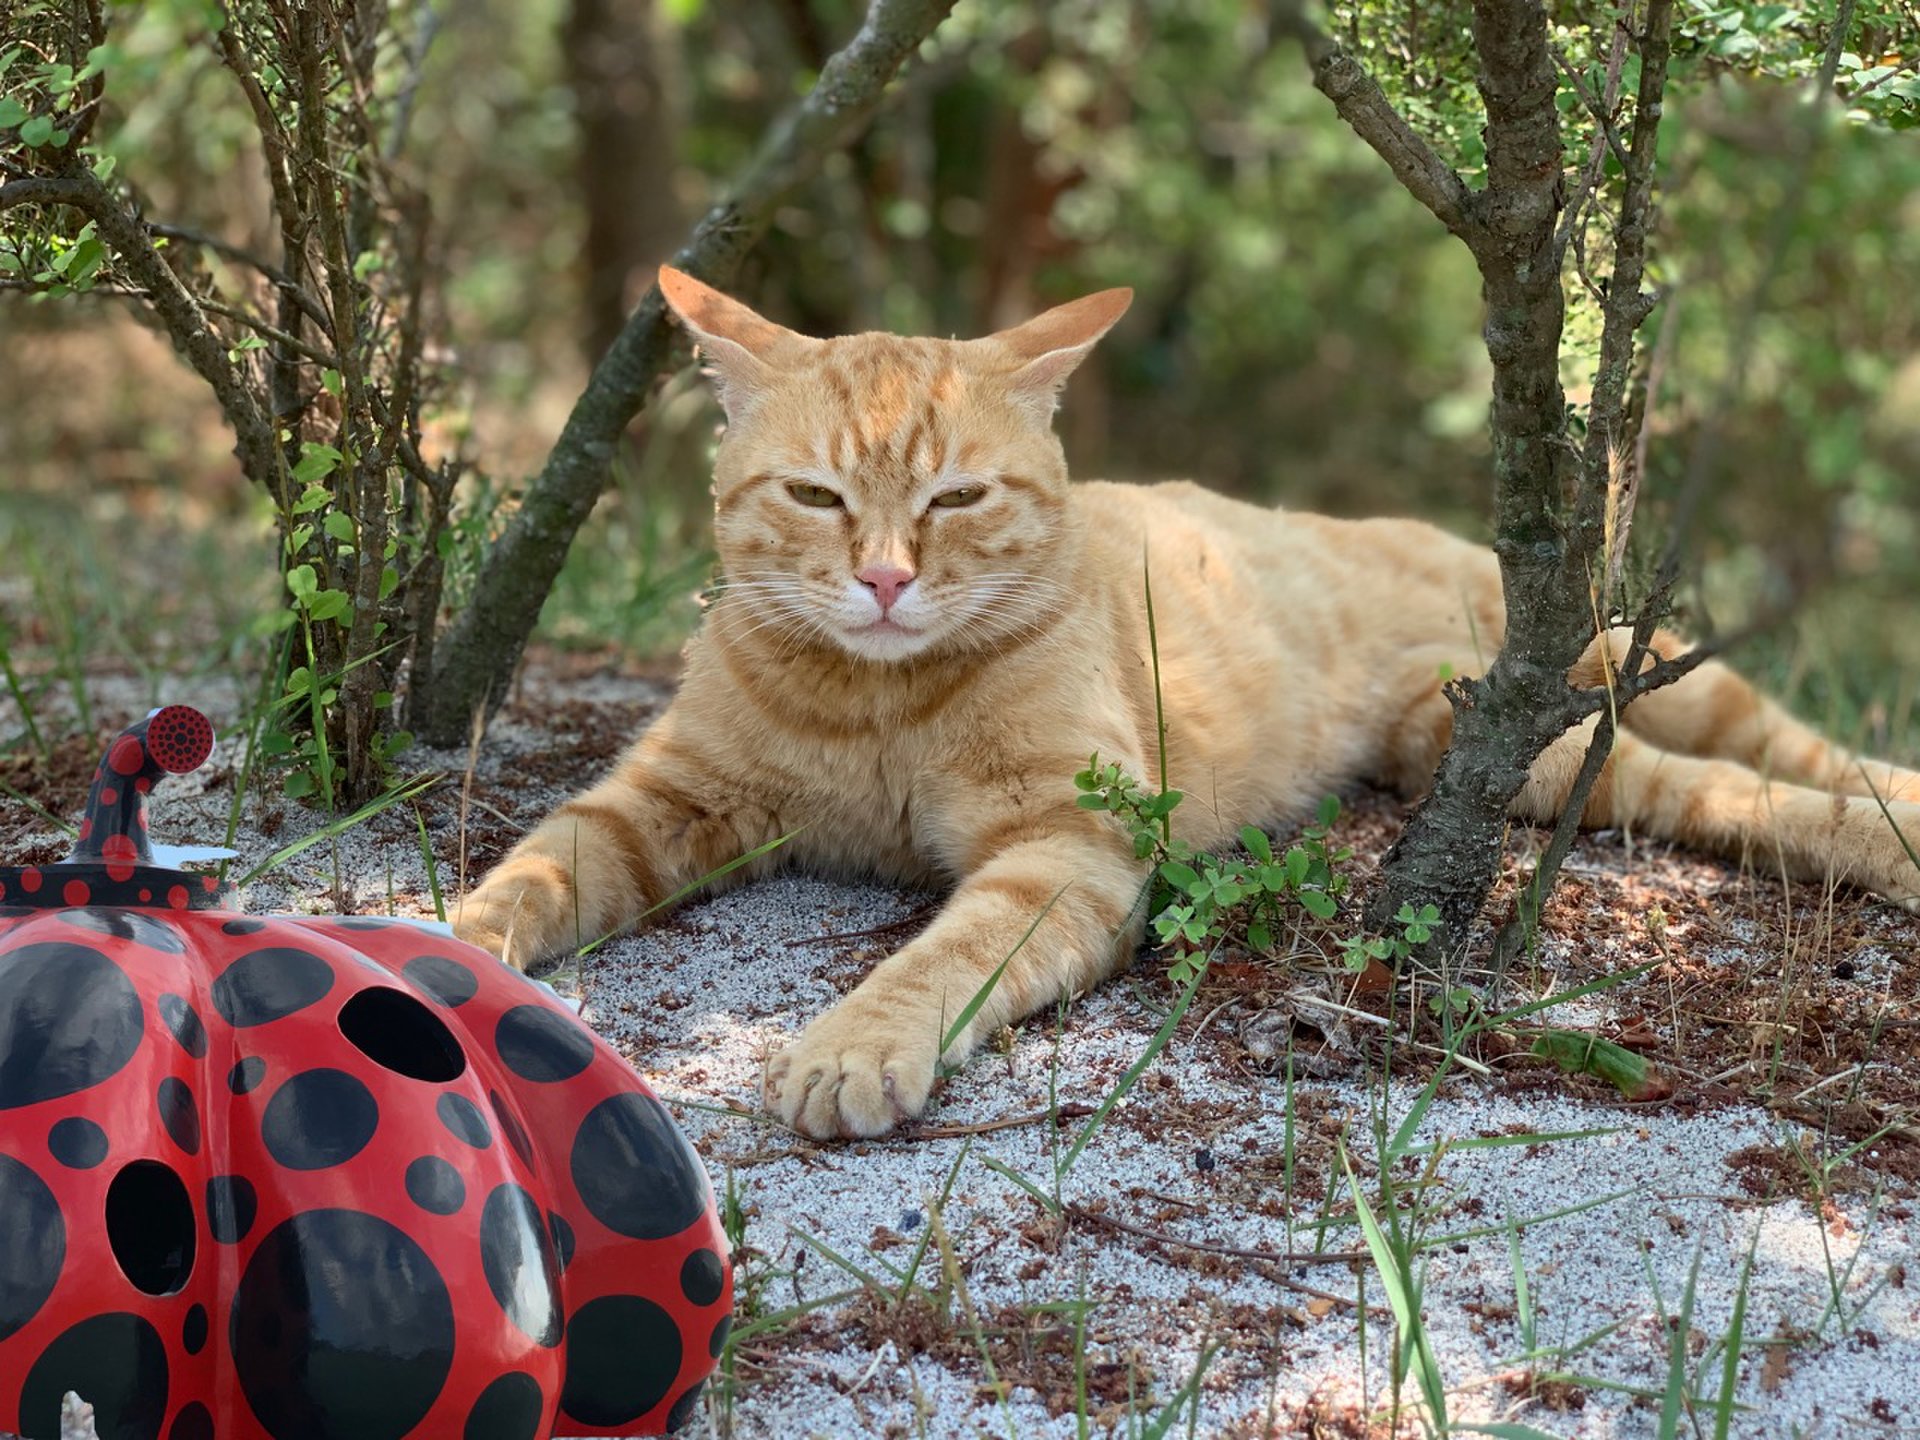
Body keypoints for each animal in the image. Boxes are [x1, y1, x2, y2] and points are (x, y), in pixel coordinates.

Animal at [456, 272, 1920, 1136]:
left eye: (956, 499)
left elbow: (935, 956)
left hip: (1604, 702)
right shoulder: (664, 795)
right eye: (817, 497)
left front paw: (854, 1045)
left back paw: (1891, 826)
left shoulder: (1065, 848)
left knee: (1775, 772)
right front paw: (451, 960)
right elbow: (538, 867)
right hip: (1486, 747)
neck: (877, 705)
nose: (881, 578)